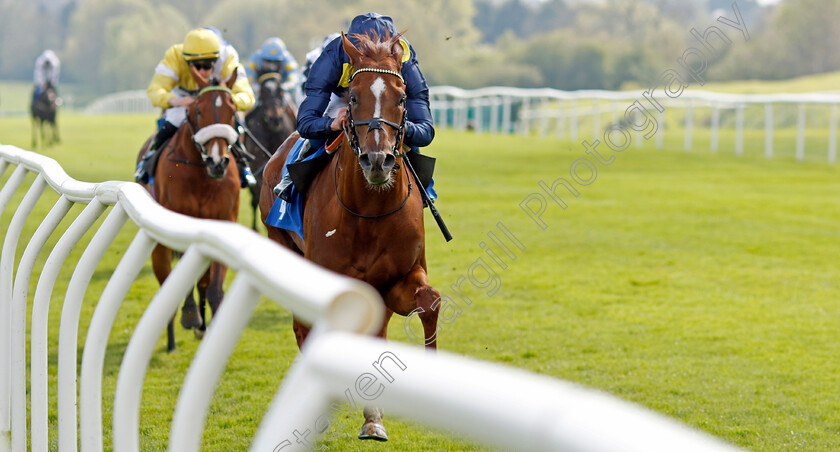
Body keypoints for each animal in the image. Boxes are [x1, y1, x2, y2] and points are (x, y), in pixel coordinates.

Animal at [138, 68, 241, 354]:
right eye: (198, 110)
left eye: (233, 110)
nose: (218, 162)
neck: (202, 175)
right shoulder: (181, 222)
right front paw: (191, 315)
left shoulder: (222, 223)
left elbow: (214, 287)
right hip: (160, 248)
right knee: (166, 283)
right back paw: (174, 340)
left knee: (202, 282)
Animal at [260, 30, 440, 442]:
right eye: (353, 97)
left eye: (402, 98)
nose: (377, 160)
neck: (369, 211)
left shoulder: (398, 278)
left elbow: (430, 302)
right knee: (303, 327)